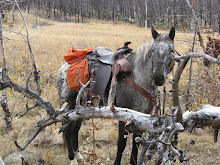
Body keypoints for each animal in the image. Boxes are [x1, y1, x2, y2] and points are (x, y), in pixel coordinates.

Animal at [56, 26, 175, 164]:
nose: (158, 77)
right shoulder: (123, 117)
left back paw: (79, 156)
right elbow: (121, 144)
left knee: (74, 130)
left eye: (171, 50)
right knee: (67, 130)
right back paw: (72, 159)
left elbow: (136, 143)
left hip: (80, 108)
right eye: (153, 50)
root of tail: (64, 66)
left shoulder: (142, 118)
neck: (137, 77)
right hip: (68, 105)